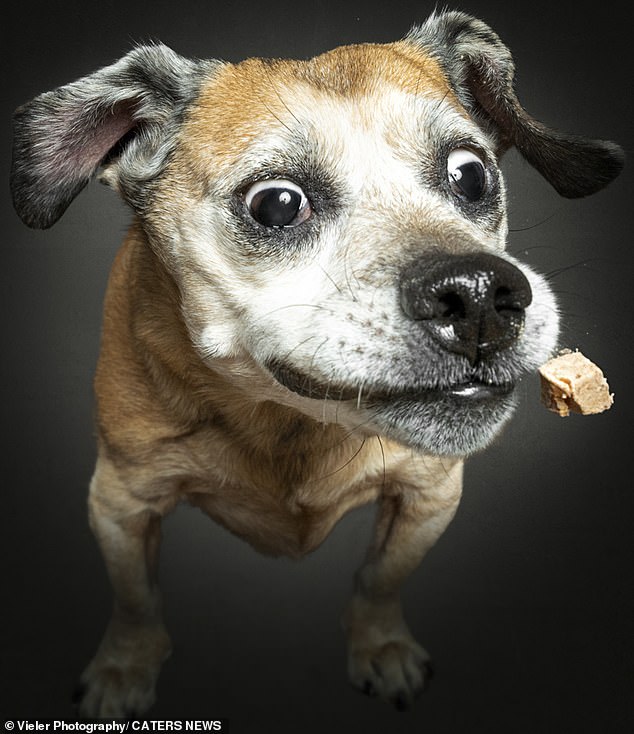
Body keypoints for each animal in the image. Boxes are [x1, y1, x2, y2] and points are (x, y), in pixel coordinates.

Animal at [11, 7, 624, 720]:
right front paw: (125, 667)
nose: (480, 296)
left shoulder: (429, 492)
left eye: (471, 173)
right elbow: (136, 602)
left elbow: (382, 579)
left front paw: (380, 644)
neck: (294, 426)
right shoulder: (120, 500)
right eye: (277, 203)